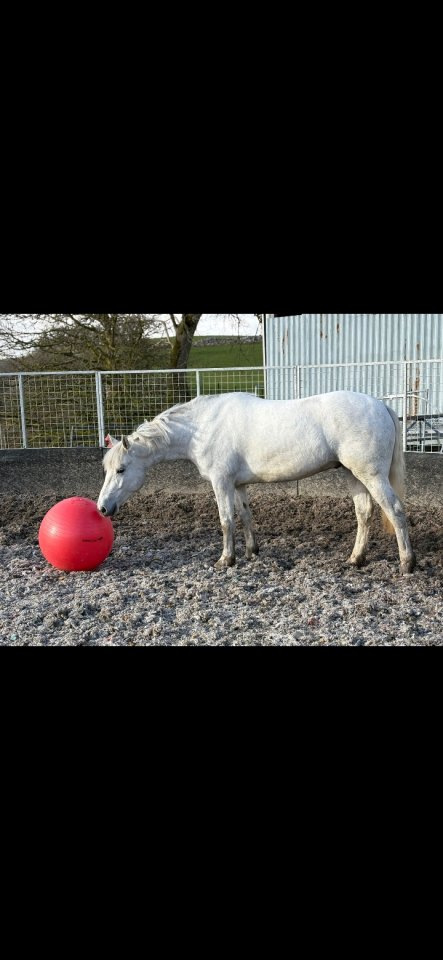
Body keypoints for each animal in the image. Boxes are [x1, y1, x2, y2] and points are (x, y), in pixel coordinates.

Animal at [97, 391, 416, 574]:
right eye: (106, 469)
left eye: (121, 470)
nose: (102, 508)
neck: (201, 427)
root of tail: (381, 406)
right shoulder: (238, 485)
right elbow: (245, 515)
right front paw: (251, 552)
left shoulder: (221, 482)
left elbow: (226, 520)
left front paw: (226, 560)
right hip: (353, 474)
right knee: (364, 514)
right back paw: (355, 559)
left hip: (371, 475)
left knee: (396, 511)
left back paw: (406, 563)